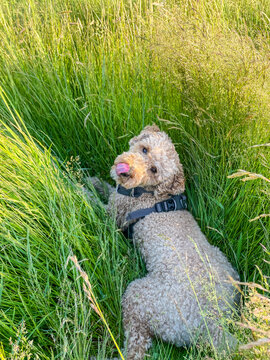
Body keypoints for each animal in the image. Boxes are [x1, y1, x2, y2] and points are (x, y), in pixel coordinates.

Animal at [94, 125, 239, 358]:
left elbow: (90, 200)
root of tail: (214, 325)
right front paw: (90, 179)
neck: (153, 194)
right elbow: (104, 186)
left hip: (139, 296)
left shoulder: (113, 216)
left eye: (154, 170)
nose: (127, 170)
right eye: (144, 149)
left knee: (137, 344)